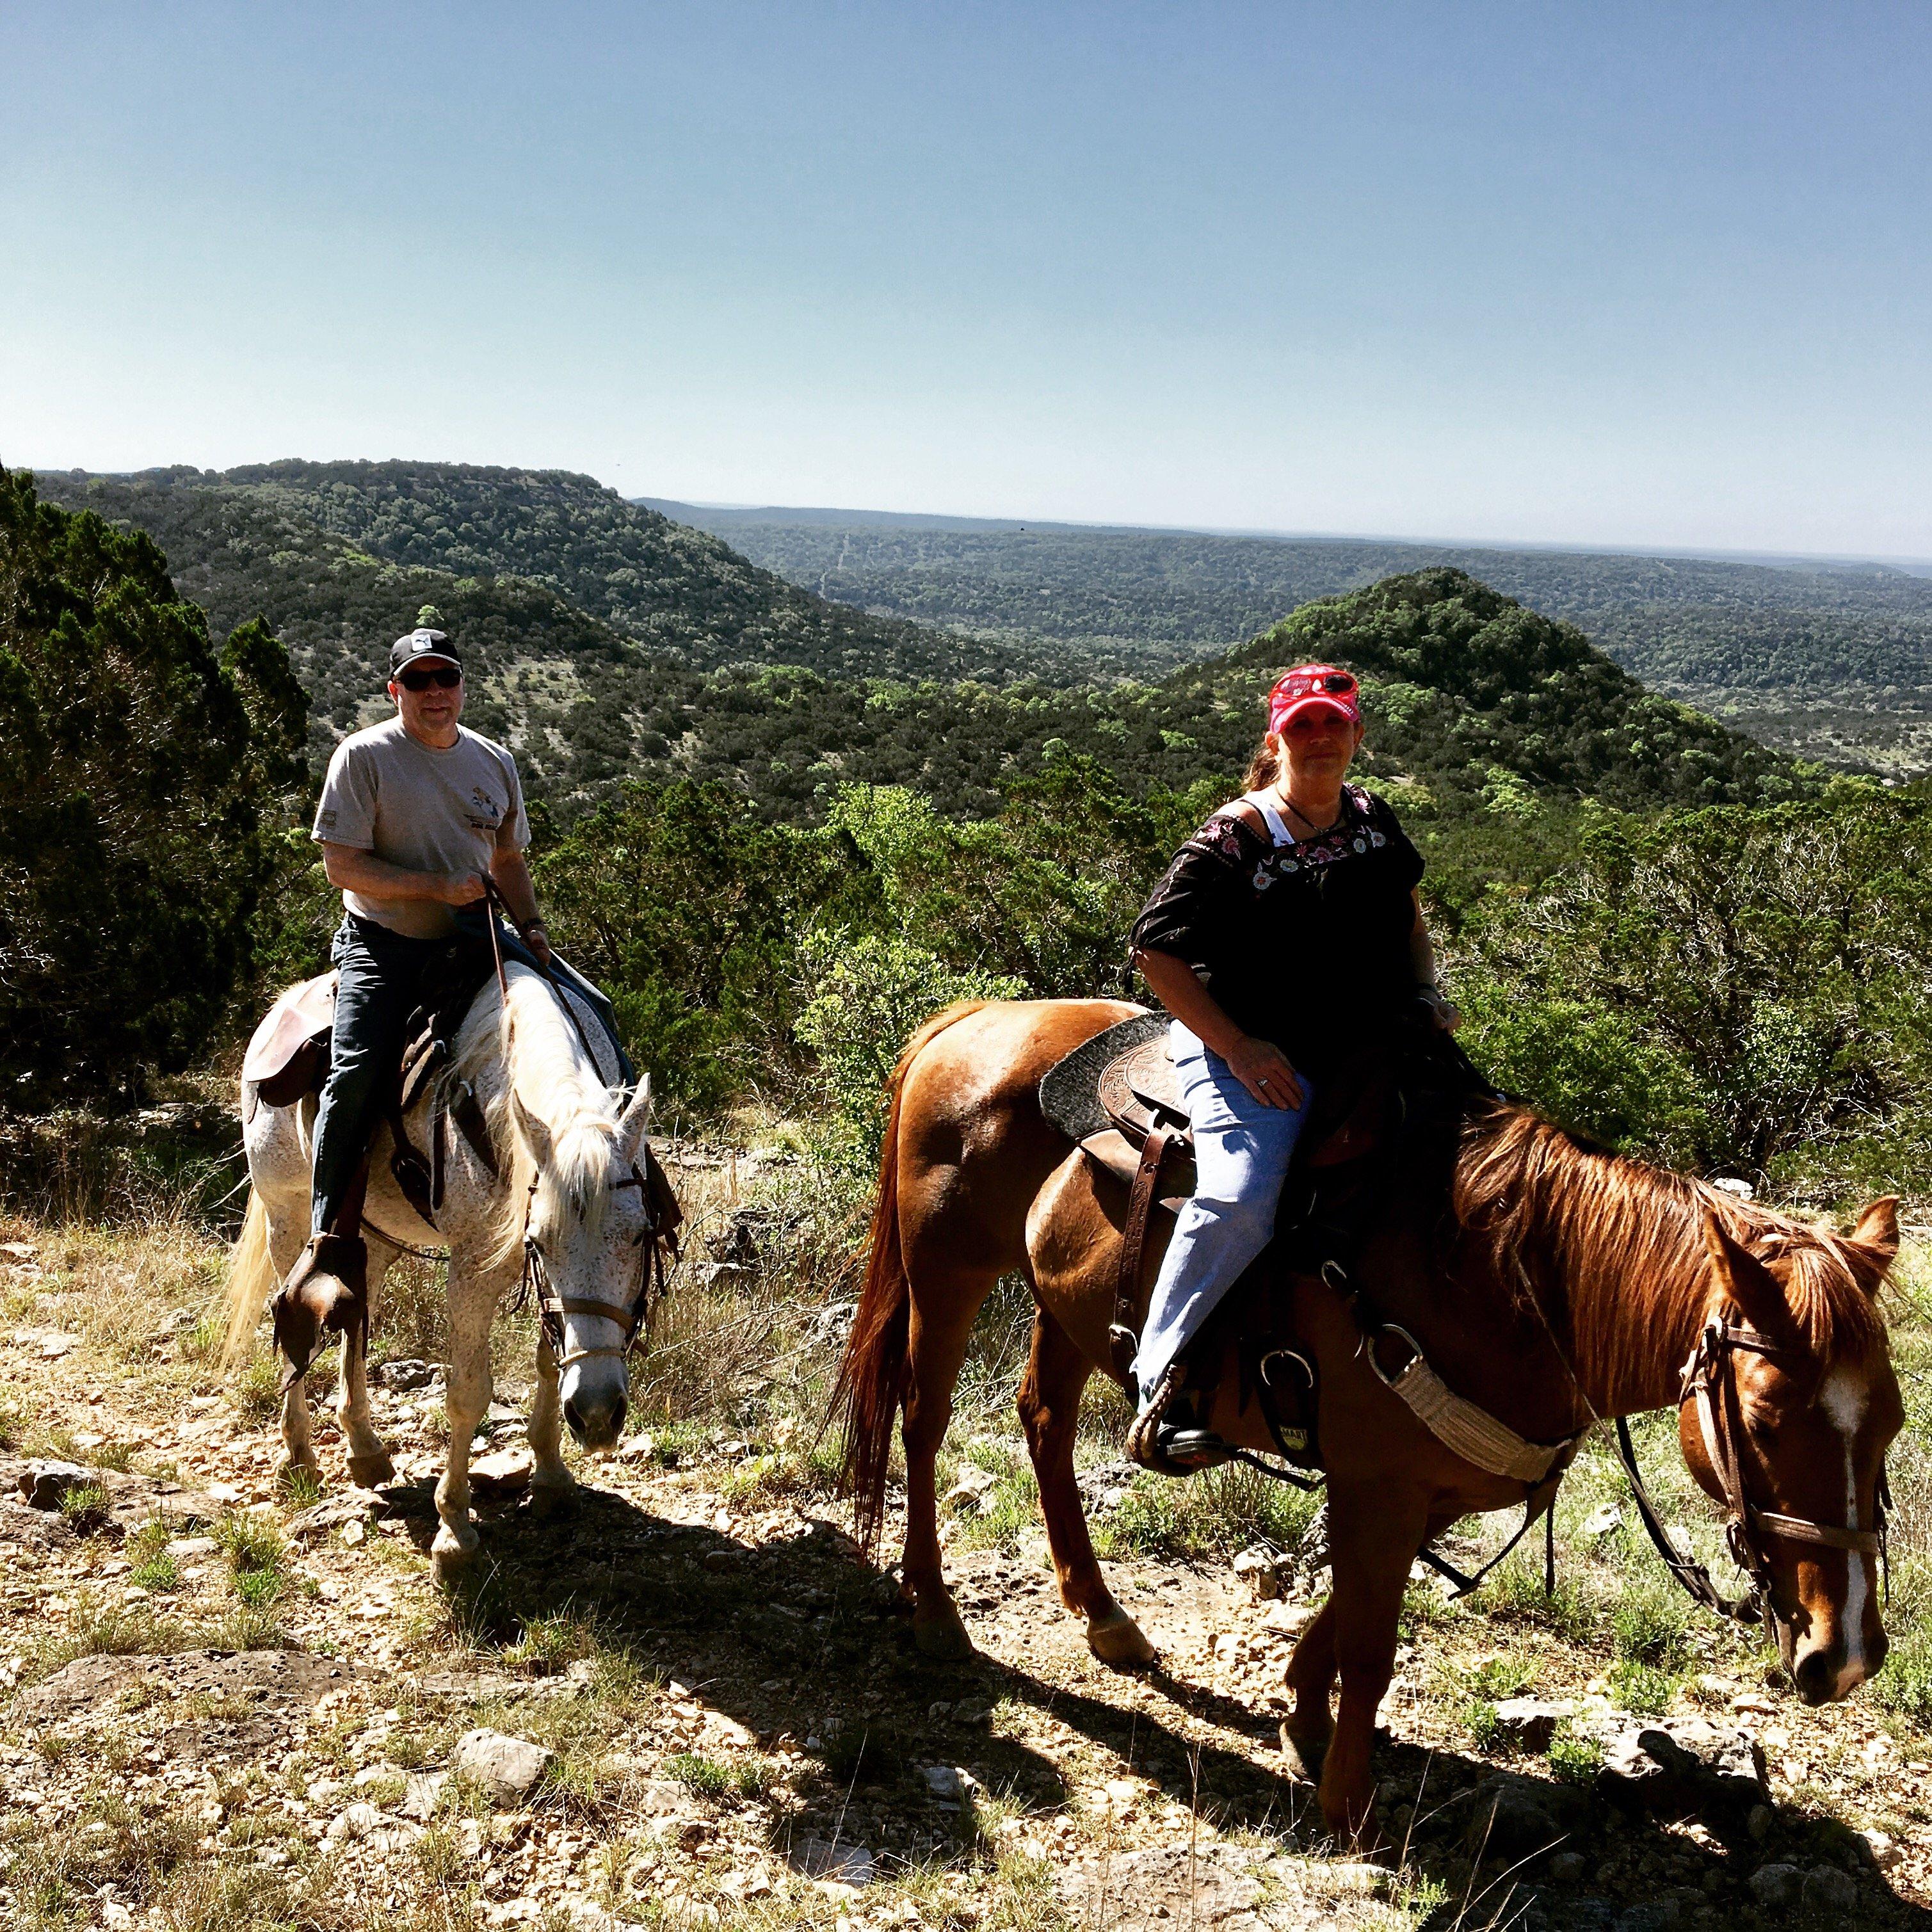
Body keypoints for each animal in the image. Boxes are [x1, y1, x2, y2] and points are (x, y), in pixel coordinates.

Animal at [226, 958, 657, 1576]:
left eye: (641, 1235)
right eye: (539, 1241)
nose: (597, 1416)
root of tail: (281, 1006)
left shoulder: (547, 1295)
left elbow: (550, 1365)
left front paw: (551, 1478)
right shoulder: (473, 1274)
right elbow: (468, 1394)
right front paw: (455, 1531)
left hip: (371, 1234)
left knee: (357, 1309)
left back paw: (364, 1447)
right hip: (286, 1215)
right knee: (292, 1315)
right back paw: (300, 1456)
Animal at [830, 997, 1901, 1839]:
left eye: (1889, 1421)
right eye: (1764, 1418)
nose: (1842, 1656)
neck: (1503, 1278)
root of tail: (969, 1017)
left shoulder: (1427, 1488)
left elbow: (1344, 1617)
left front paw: (1303, 1717)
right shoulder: (1377, 1481)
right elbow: (1370, 1643)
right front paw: (1346, 1801)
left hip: (1063, 1305)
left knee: (1044, 1422)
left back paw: (1104, 1617)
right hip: (948, 1270)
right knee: (924, 1422)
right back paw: (933, 1608)